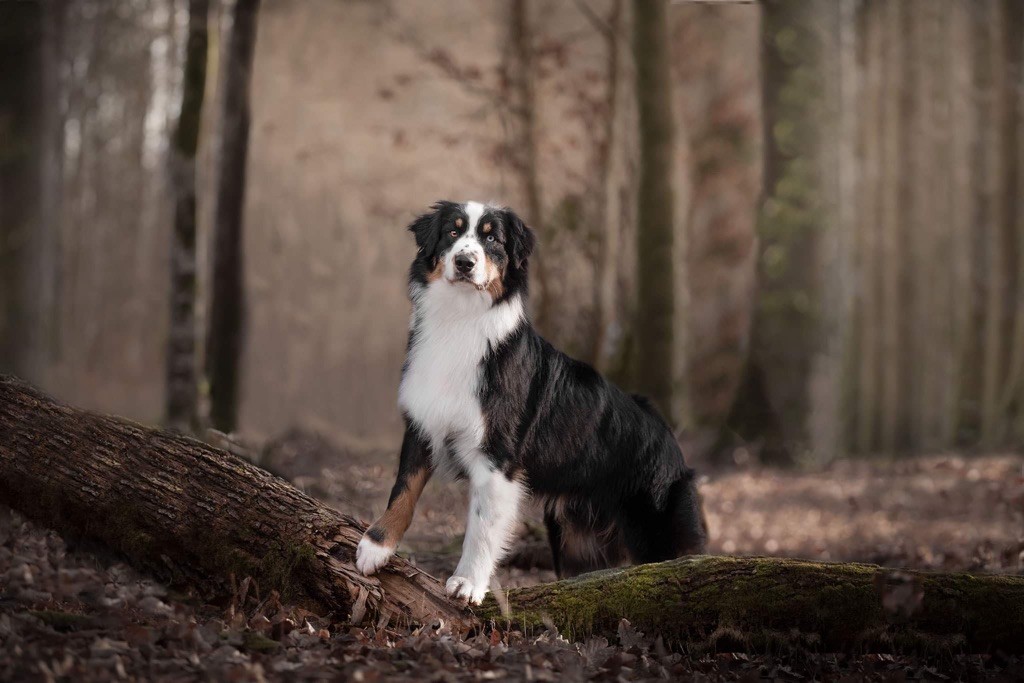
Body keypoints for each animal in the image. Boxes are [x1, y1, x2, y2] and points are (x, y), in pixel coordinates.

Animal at [354, 198, 704, 602]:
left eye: (492, 239)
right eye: (452, 232)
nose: (465, 262)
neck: (460, 317)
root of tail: (669, 439)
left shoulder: (497, 455)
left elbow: (481, 526)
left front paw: (469, 582)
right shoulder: (423, 423)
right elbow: (403, 490)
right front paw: (376, 545)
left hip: (657, 530)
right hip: (573, 539)